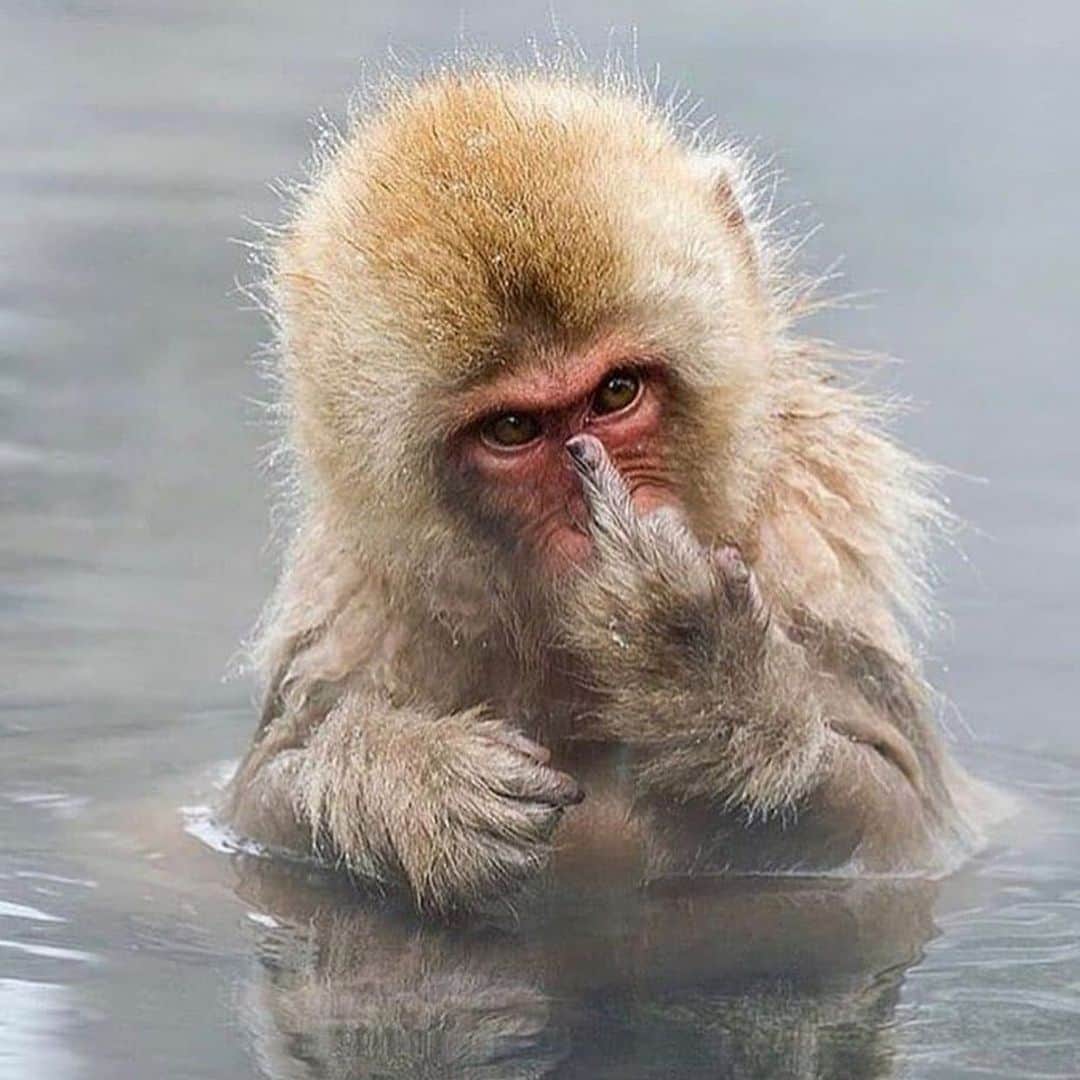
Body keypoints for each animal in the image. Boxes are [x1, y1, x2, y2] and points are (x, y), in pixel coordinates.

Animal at [225, 63, 994, 914]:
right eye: (513, 430)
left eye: (617, 391)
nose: (596, 510)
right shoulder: (356, 619)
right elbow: (255, 803)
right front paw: (409, 780)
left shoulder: (810, 565)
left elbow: (906, 818)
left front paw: (696, 664)